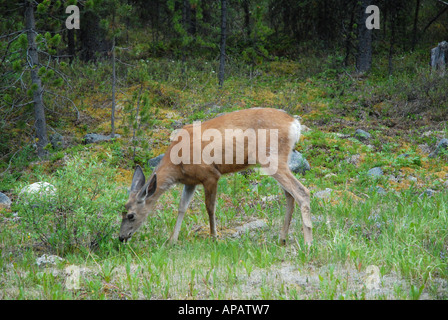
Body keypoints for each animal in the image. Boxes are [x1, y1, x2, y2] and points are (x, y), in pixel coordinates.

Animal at [119, 107, 312, 245]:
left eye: (131, 215)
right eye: (122, 211)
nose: (121, 237)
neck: (177, 163)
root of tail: (294, 123)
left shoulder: (210, 174)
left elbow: (210, 207)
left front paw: (214, 237)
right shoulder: (190, 181)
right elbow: (182, 207)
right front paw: (171, 240)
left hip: (271, 158)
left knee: (302, 191)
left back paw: (308, 243)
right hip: (280, 160)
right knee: (289, 194)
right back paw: (282, 239)